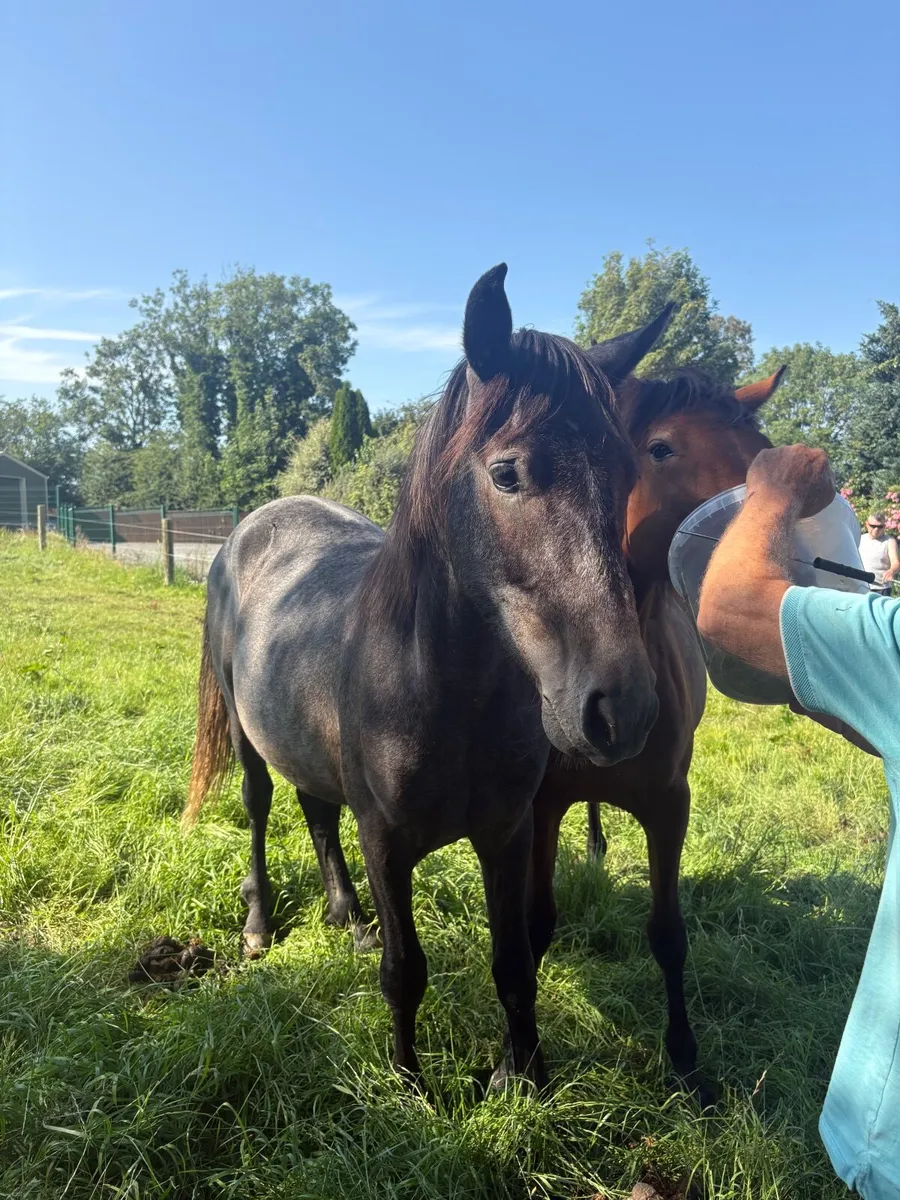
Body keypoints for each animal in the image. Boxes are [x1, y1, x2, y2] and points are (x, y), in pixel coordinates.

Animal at [183, 264, 661, 1089]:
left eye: (627, 473)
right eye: (506, 472)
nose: (619, 709)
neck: (442, 689)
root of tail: (252, 526)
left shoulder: (506, 835)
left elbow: (514, 966)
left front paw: (526, 1077)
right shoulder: (386, 844)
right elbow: (406, 972)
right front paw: (409, 1085)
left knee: (316, 811)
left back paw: (347, 919)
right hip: (249, 747)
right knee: (260, 810)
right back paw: (260, 923)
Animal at [527, 355, 785, 1100]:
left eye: (763, 450)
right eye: (662, 448)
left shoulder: (671, 804)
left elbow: (669, 934)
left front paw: (687, 1061)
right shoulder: (539, 807)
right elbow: (536, 923)